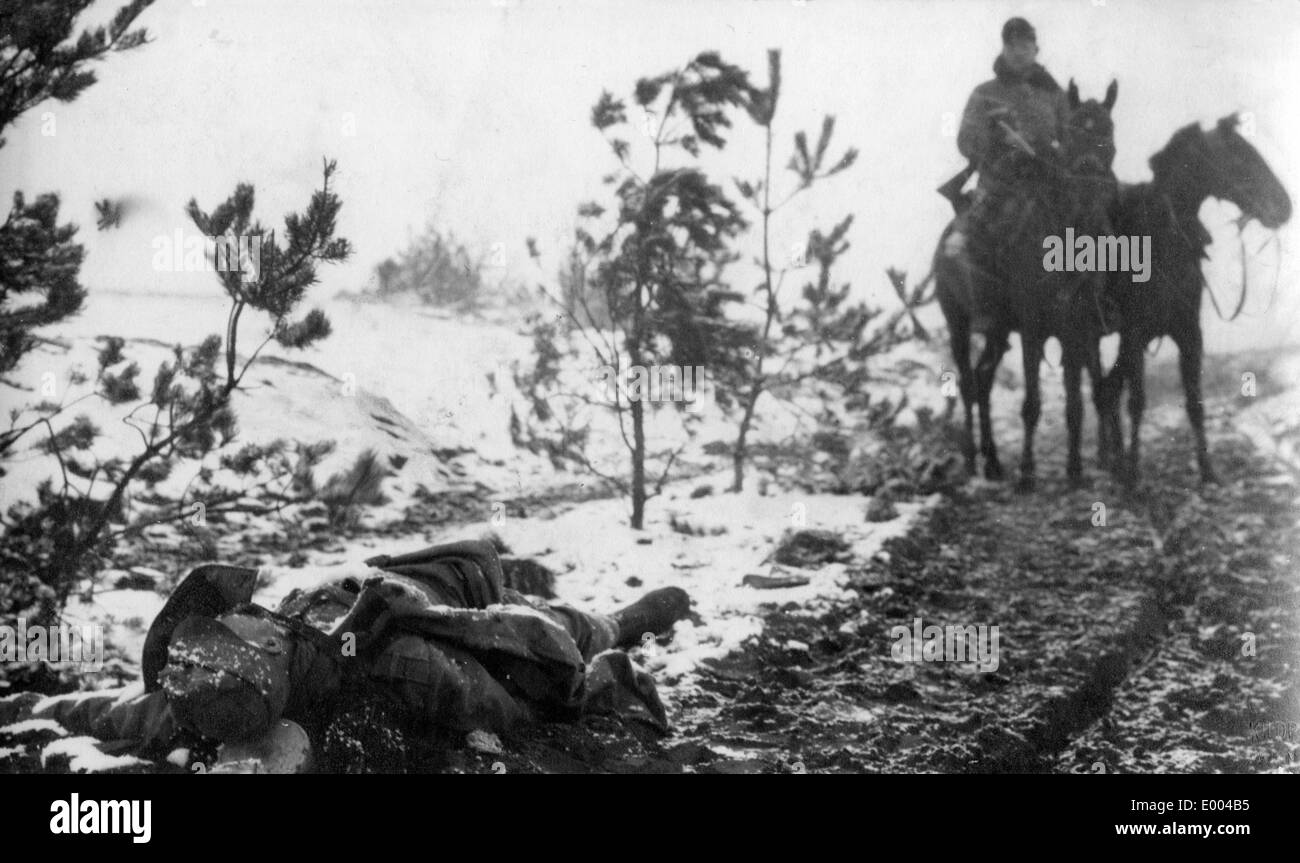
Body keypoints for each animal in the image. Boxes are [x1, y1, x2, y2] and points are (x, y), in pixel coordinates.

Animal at [935, 79, 1118, 488]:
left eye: (1109, 134)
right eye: (1071, 134)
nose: (1093, 187)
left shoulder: (1077, 327)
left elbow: (1075, 402)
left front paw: (1075, 470)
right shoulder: (1033, 327)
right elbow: (1032, 403)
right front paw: (1028, 472)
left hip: (999, 332)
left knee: (984, 380)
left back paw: (992, 461)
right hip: (959, 323)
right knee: (969, 383)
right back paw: (971, 460)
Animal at [1097, 116, 1289, 486]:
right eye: (1241, 157)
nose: (1284, 206)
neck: (1162, 239)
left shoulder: (1188, 334)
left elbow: (1195, 403)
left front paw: (1207, 471)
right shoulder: (1135, 334)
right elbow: (1137, 402)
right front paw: (1134, 475)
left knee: (1108, 389)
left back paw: (1112, 458)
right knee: (1105, 390)